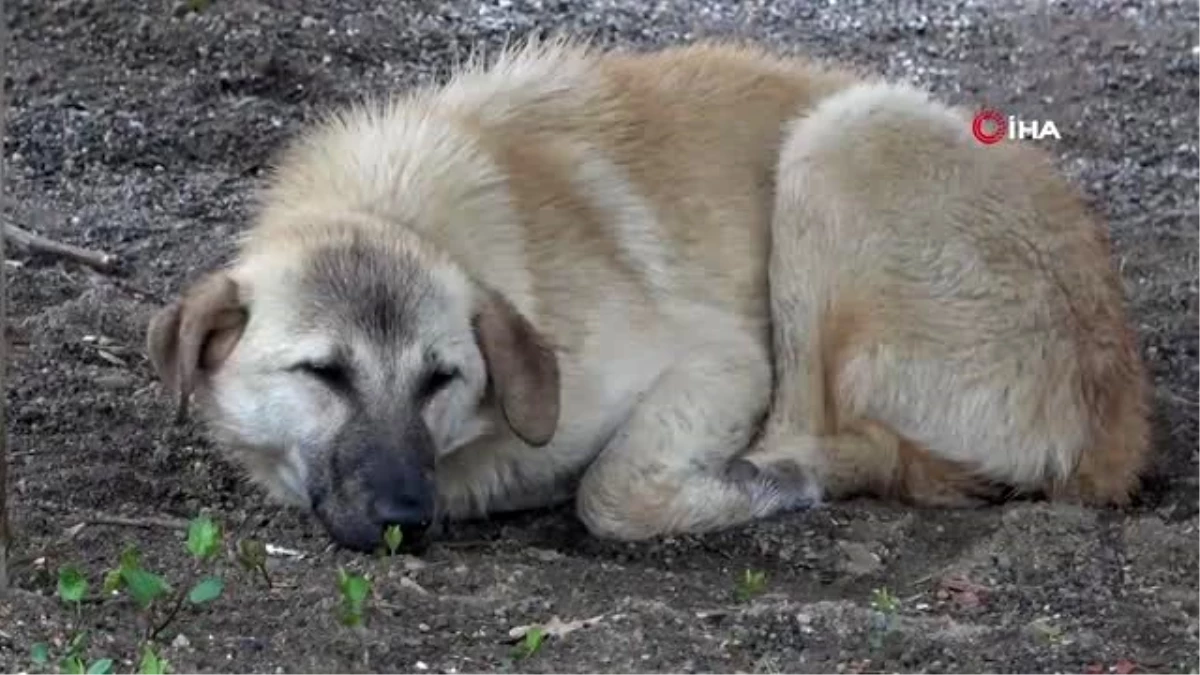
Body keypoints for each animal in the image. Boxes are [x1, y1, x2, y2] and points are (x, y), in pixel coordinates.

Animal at [145, 38, 1147, 552]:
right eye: (323, 372)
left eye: (441, 378)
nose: (406, 517)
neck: (397, 208)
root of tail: (1119, 428)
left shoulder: (722, 361)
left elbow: (613, 492)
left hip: (840, 136)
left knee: (837, 441)